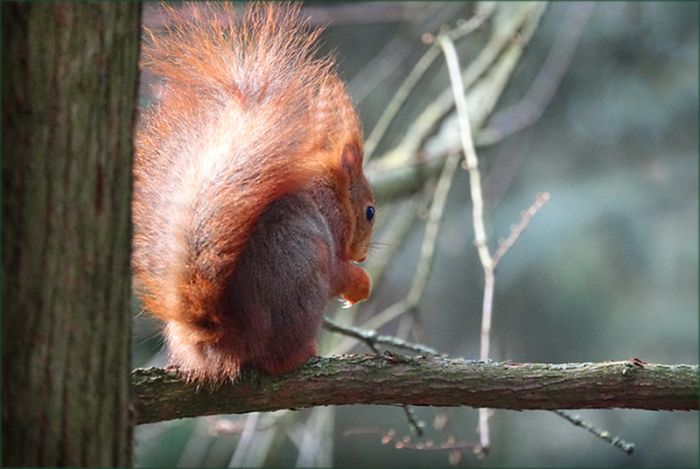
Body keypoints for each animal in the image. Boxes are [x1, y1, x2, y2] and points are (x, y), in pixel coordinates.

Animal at [132, 3, 375, 381]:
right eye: (369, 212)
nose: (362, 256)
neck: (331, 193)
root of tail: (231, 334)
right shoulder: (331, 229)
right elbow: (338, 270)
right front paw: (359, 283)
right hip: (305, 278)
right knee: (277, 357)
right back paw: (300, 355)